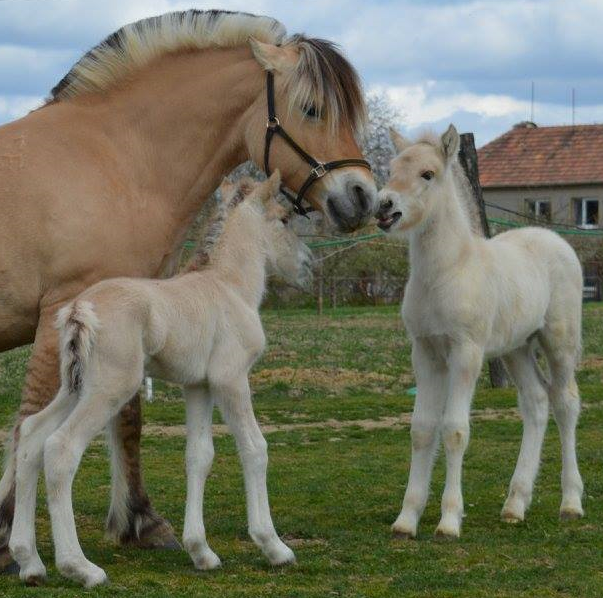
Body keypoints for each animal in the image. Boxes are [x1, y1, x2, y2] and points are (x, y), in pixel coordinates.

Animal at [0, 9, 378, 572]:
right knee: (50, 441)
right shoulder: (57, 315)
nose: (364, 197)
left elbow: (137, 425)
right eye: (312, 108)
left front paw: (144, 523)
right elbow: (27, 420)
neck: (115, 157)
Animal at [378, 126, 584, 544]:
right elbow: (422, 429)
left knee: (566, 402)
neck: (446, 271)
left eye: (427, 174)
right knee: (536, 403)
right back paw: (515, 505)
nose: (384, 206)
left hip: (559, 341)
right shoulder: (425, 352)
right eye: (391, 169)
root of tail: (556, 240)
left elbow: (455, 430)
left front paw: (448, 521)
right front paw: (406, 520)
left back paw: (571, 502)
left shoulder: (466, 353)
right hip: (516, 348)